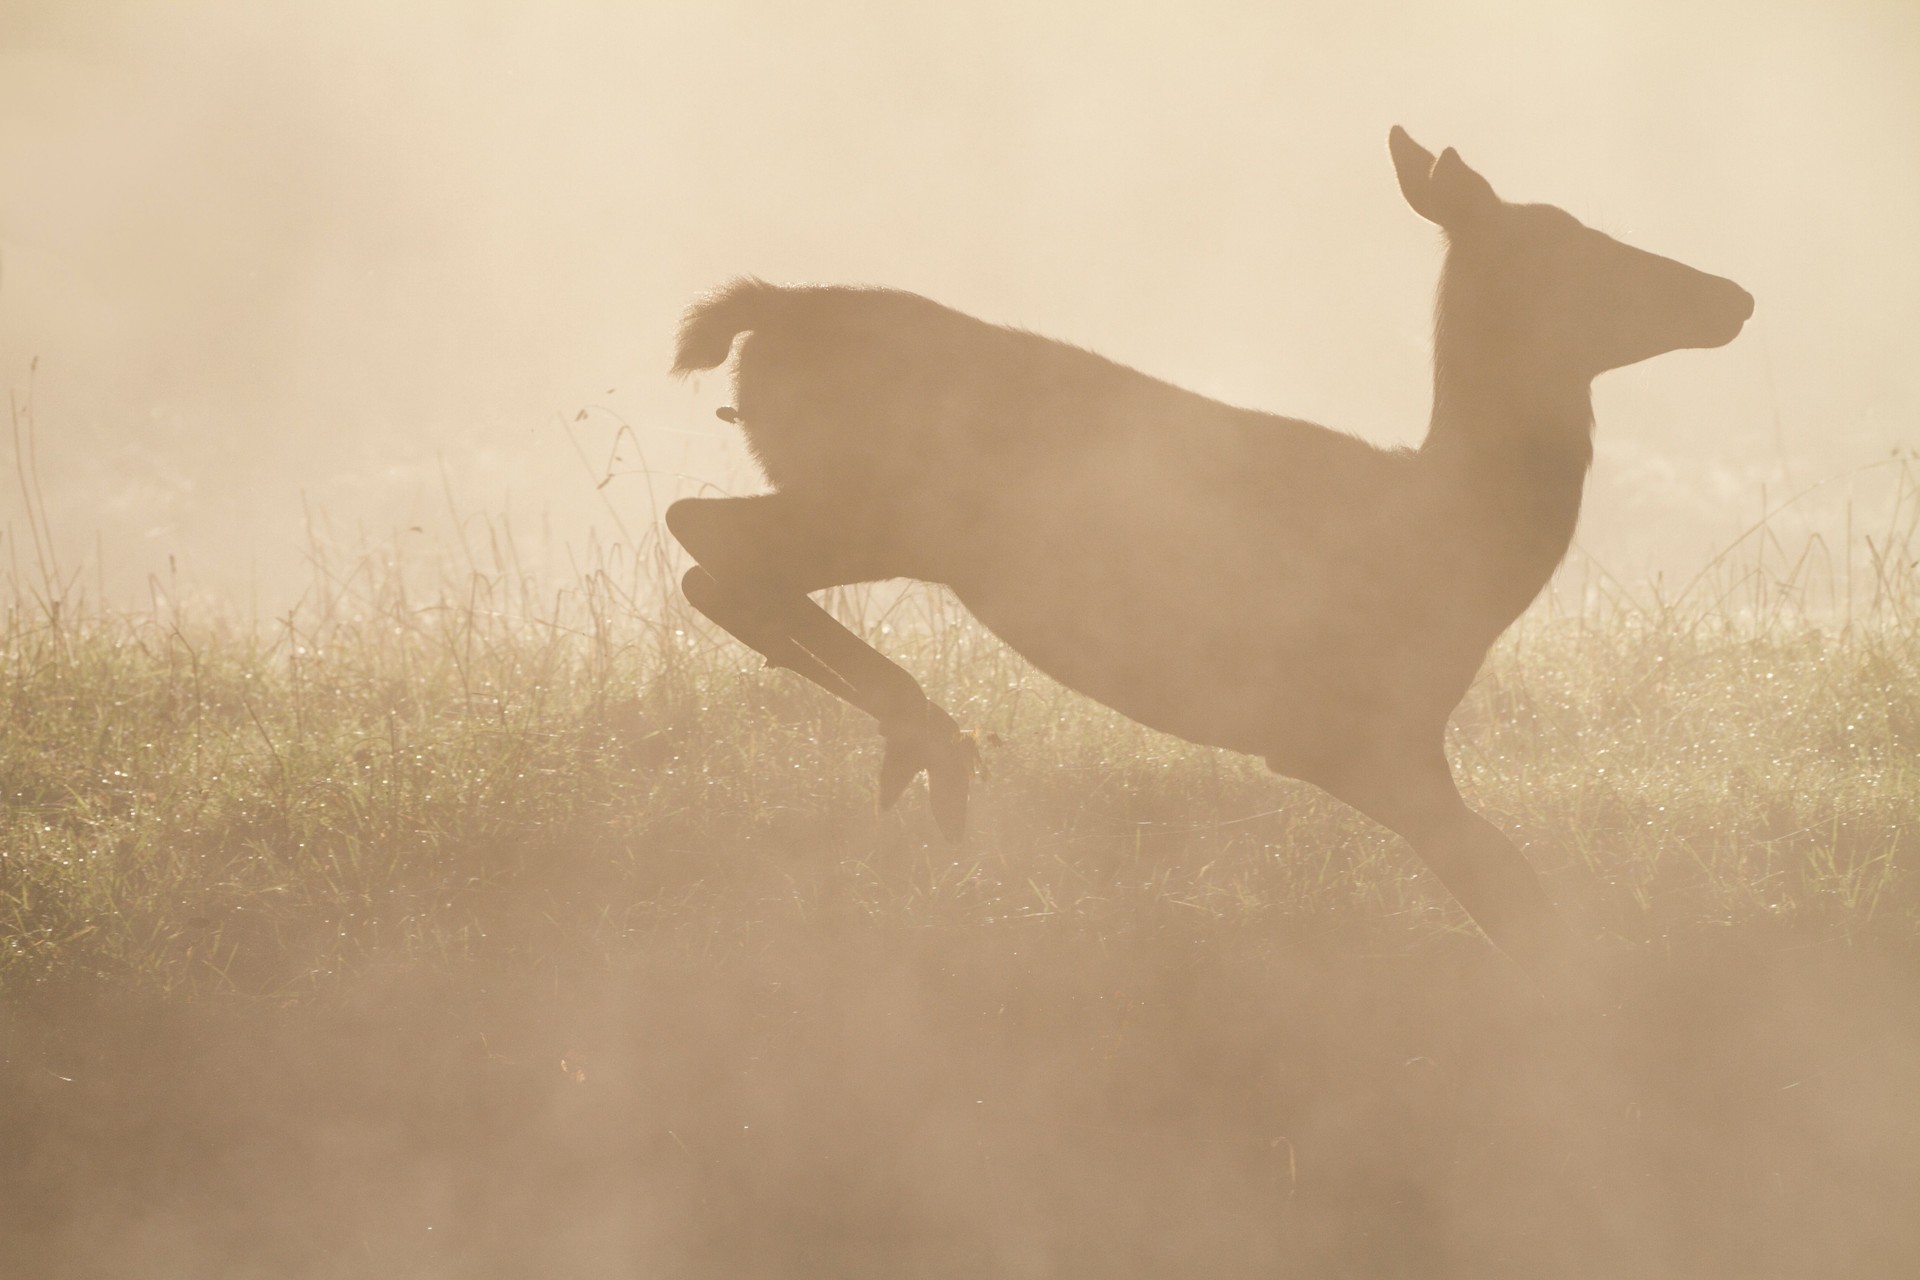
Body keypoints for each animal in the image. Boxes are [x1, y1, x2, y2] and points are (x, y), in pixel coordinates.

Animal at [663, 127, 1752, 991]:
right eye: (1583, 247)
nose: (1735, 294)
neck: (1458, 539)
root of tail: (766, 313)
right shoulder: (1358, 728)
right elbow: (1514, 894)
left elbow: (1509, 889)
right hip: (893, 504)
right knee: (703, 535)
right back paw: (931, 737)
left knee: (709, 554)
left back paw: (926, 743)